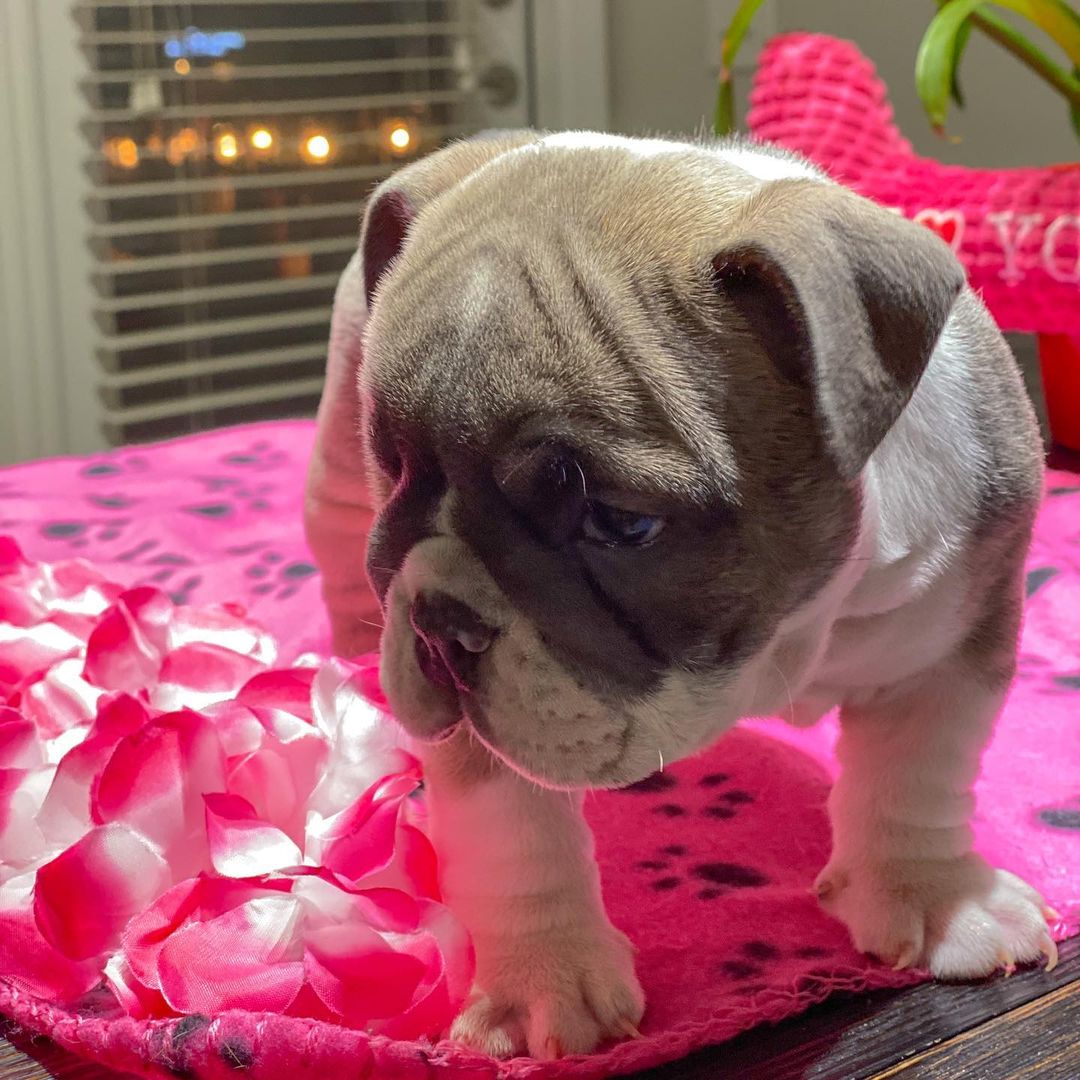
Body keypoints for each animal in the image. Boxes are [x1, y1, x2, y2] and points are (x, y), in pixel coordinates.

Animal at [306, 130, 1054, 1058]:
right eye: (398, 467)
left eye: (620, 521)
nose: (440, 629)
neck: (788, 632)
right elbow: (513, 833)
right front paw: (543, 976)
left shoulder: (955, 640)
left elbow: (919, 773)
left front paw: (935, 896)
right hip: (338, 472)